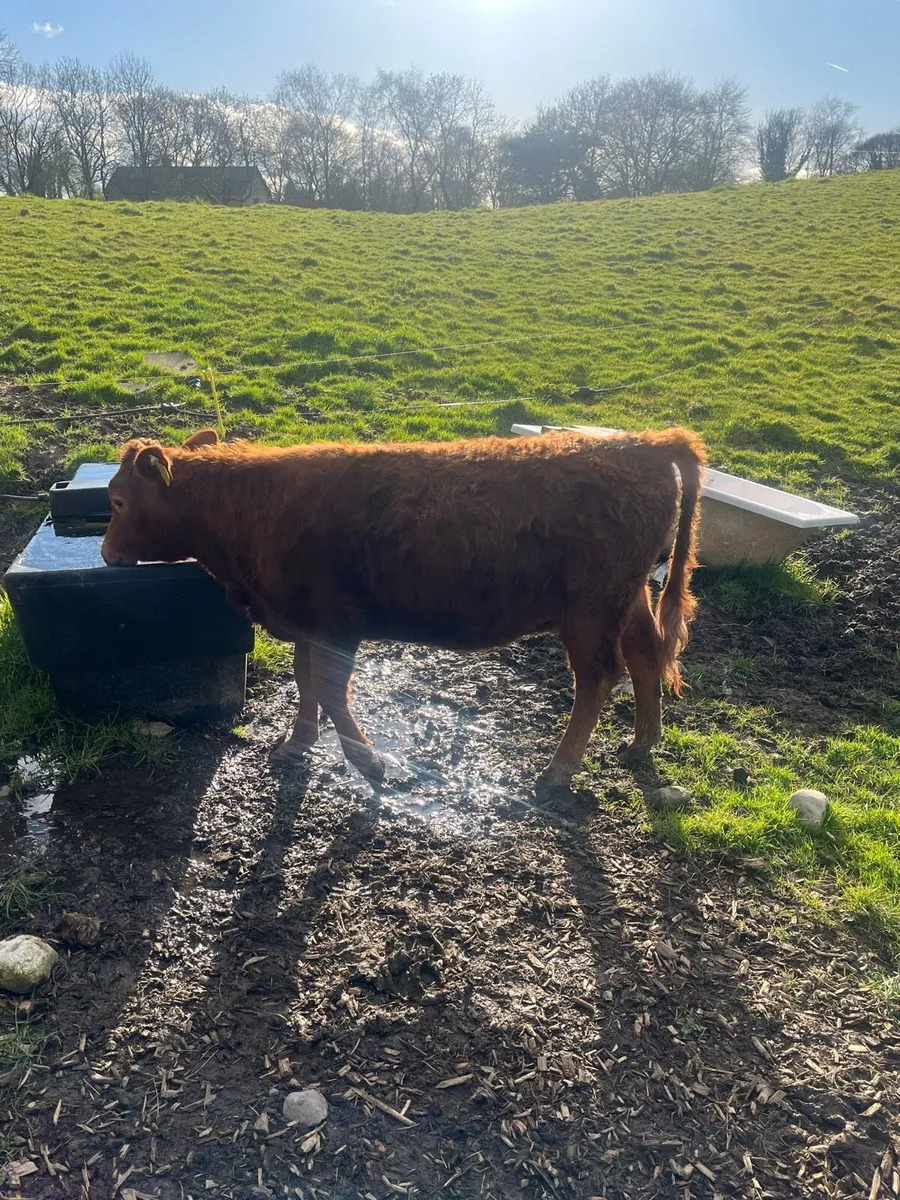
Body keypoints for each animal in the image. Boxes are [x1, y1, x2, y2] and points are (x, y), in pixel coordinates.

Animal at [101, 427, 704, 795]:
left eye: (118, 501)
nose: (106, 553)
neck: (253, 507)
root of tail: (647, 443)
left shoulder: (336, 623)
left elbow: (330, 689)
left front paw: (369, 762)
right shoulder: (305, 623)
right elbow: (305, 680)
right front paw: (297, 743)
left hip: (591, 609)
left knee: (598, 677)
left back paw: (558, 772)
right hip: (627, 598)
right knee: (646, 656)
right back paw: (641, 743)